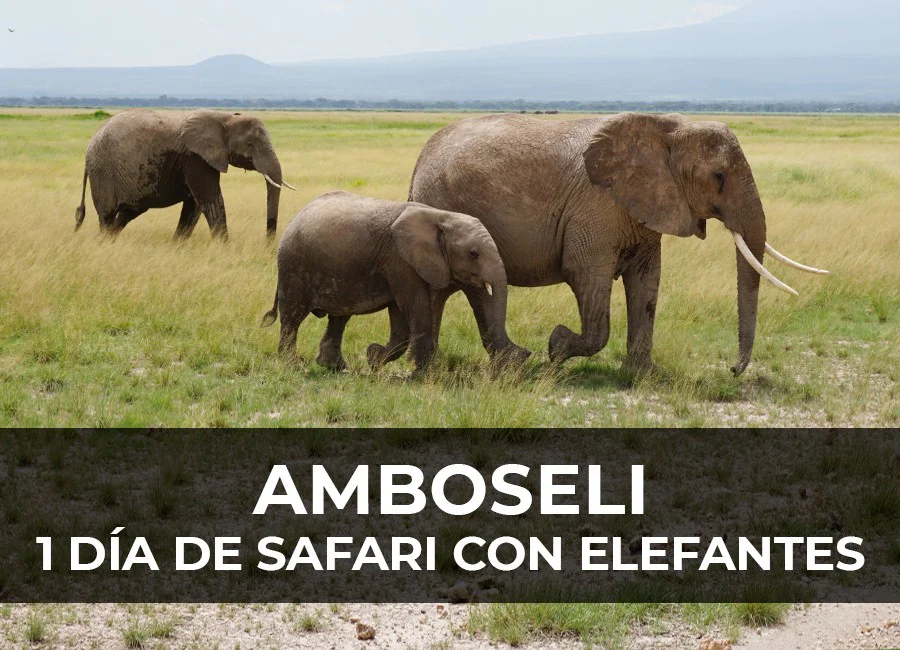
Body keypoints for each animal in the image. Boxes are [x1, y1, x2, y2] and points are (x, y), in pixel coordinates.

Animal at [74, 109, 297, 240]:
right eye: (250, 145)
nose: (269, 243)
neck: (224, 118)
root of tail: (89, 146)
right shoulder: (195, 157)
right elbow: (209, 198)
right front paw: (224, 248)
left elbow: (194, 205)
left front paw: (177, 246)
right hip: (103, 172)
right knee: (107, 215)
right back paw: (104, 242)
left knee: (127, 213)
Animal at [260, 191, 530, 372]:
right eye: (474, 254)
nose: (527, 352)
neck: (441, 216)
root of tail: (296, 218)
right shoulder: (400, 260)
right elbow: (415, 308)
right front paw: (423, 373)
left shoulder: (400, 265)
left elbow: (400, 317)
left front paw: (374, 358)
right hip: (293, 264)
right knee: (292, 317)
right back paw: (292, 366)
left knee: (339, 317)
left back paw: (334, 367)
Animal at [409, 112, 828, 375]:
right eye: (719, 177)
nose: (733, 369)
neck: (667, 129)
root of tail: (420, 159)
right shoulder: (596, 207)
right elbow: (586, 276)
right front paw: (556, 349)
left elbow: (647, 283)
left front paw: (641, 374)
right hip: (444, 204)